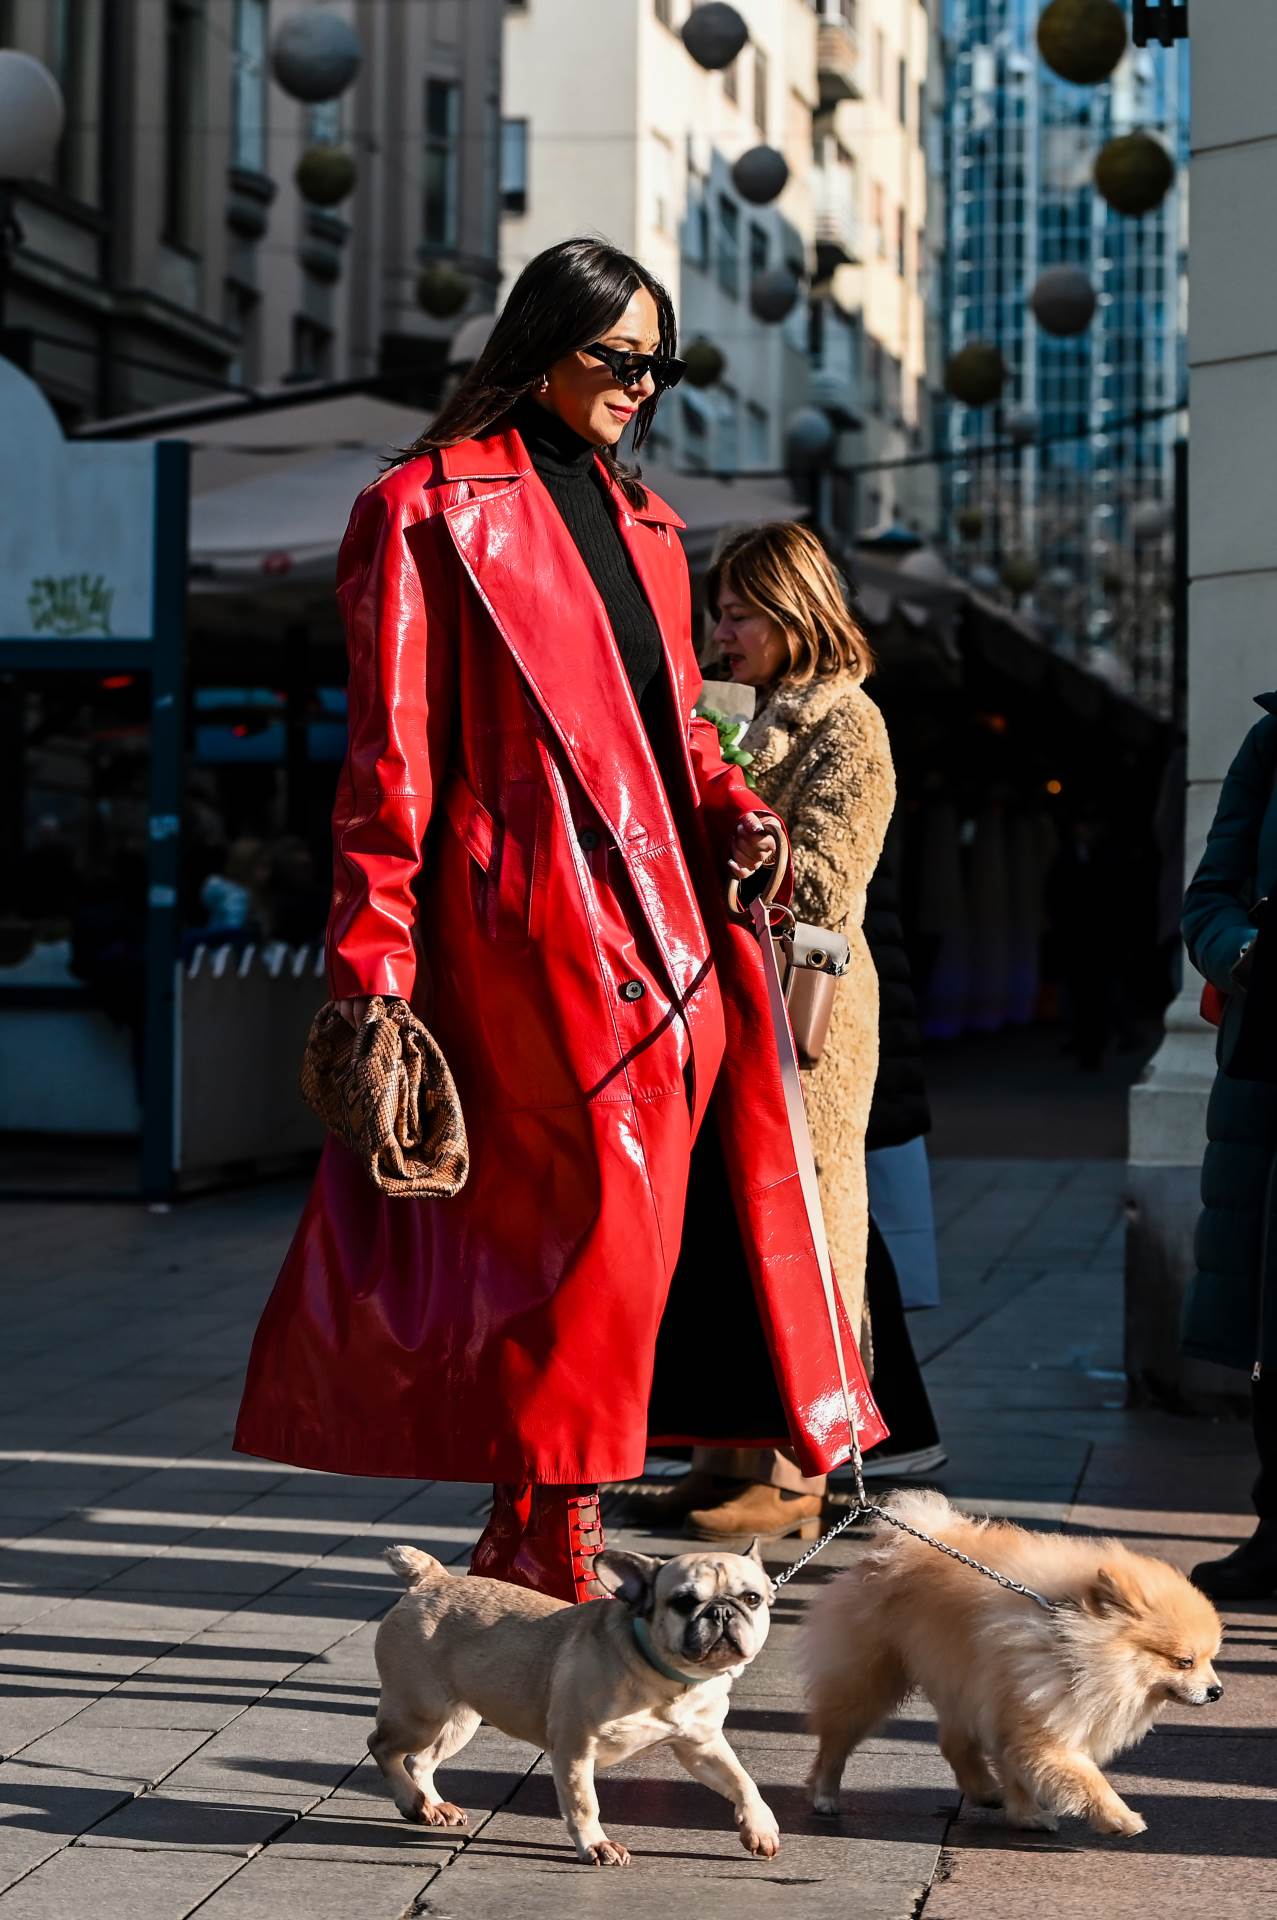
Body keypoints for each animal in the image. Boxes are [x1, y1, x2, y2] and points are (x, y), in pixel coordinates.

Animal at [802, 1489, 1221, 1835]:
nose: (1216, 1691)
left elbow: (1018, 1770)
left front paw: (1026, 1815)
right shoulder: (1037, 1722)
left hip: (959, 1681)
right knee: (837, 1738)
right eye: (1184, 1662)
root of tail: (894, 1545)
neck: (1065, 1636)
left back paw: (985, 1790)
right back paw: (824, 1794)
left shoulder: (1014, 1709)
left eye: (1211, 1659)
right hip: (869, 1678)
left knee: (954, 1743)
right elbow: (1084, 1775)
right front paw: (1118, 1817)